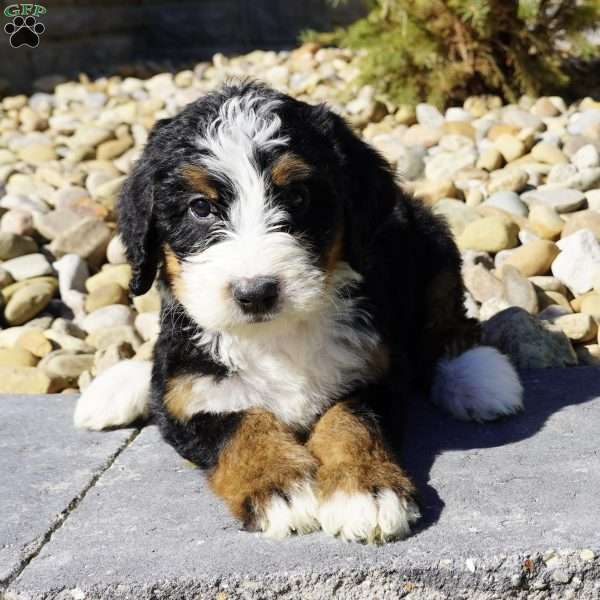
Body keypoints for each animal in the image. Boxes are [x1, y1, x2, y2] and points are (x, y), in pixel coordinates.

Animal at [75, 82, 524, 548]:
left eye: (297, 196)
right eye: (201, 208)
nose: (255, 293)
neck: (274, 335)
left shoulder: (374, 371)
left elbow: (350, 420)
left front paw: (365, 491)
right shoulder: (186, 399)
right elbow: (242, 426)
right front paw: (281, 487)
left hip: (429, 237)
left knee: (445, 317)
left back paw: (476, 375)